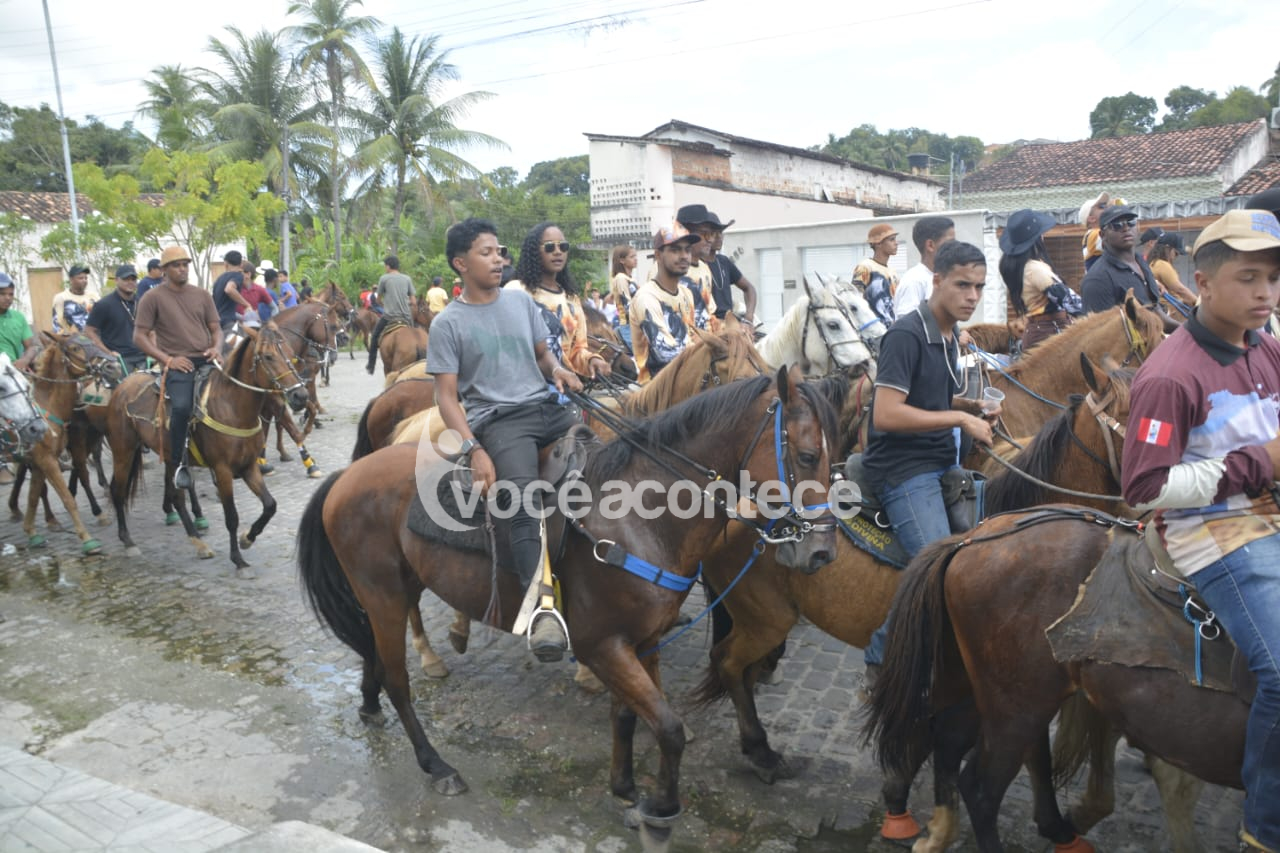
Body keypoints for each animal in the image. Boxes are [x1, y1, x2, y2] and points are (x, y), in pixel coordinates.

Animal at [105, 325, 309, 575]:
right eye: (269, 356)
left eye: (291, 353)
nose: (300, 396)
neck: (232, 407)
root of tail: (122, 387)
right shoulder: (222, 471)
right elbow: (231, 516)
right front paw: (238, 559)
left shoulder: (249, 467)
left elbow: (270, 505)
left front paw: (247, 538)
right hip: (123, 452)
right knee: (118, 491)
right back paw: (128, 541)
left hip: (171, 459)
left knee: (176, 497)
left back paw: (198, 542)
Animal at [297, 368, 840, 836]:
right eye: (807, 456)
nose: (822, 552)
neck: (641, 516)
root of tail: (347, 476)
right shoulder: (603, 645)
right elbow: (668, 727)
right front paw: (661, 806)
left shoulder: (642, 641)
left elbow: (630, 716)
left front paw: (625, 788)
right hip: (383, 593)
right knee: (398, 678)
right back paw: (435, 763)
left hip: (399, 588)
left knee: (373, 653)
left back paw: (370, 702)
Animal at [694, 356, 1133, 847]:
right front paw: (904, 806)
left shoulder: (1023, 675)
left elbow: (1028, 747)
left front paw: (1055, 824)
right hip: (766, 619)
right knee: (728, 663)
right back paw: (761, 752)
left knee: (742, 670)